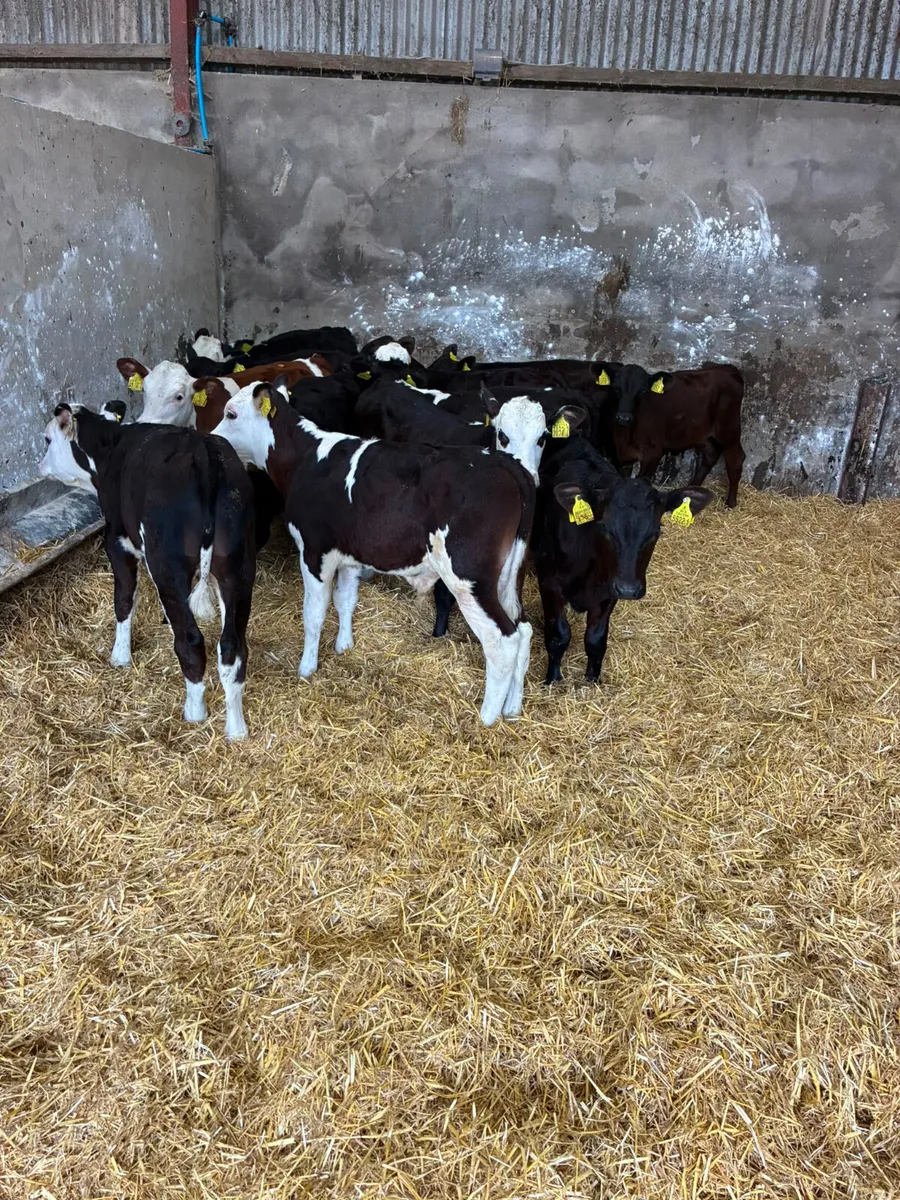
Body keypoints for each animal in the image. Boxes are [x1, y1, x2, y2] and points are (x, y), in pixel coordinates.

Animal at [38, 403, 256, 739]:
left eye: (48, 439)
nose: (39, 466)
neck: (110, 448)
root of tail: (203, 455)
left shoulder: (118, 540)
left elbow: (124, 600)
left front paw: (119, 656)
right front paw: (164, 620)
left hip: (167, 564)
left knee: (191, 642)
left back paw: (194, 712)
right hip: (238, 566)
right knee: (232, 646)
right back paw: (236, 729)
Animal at [211, 379, 535, 726]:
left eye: (230, 414)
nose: (214, 437)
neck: (306, 460)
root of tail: (505, 462)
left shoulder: (314, 551)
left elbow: (314, 613)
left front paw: (307, 667)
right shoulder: (350, 554)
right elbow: (345, 600)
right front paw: (344, 645)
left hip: (468, 577)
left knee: (503, 640)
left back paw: (487, 718)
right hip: (508, 575)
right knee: (524, 630)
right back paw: (512, 708)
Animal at [533, 434, 712, 684]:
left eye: (655, 532)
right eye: (604, 528)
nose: (628, 589)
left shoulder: (609, 589)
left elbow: (596, 639)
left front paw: (593, 680)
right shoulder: (549, 581)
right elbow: (559, 635)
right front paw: (553, 680)